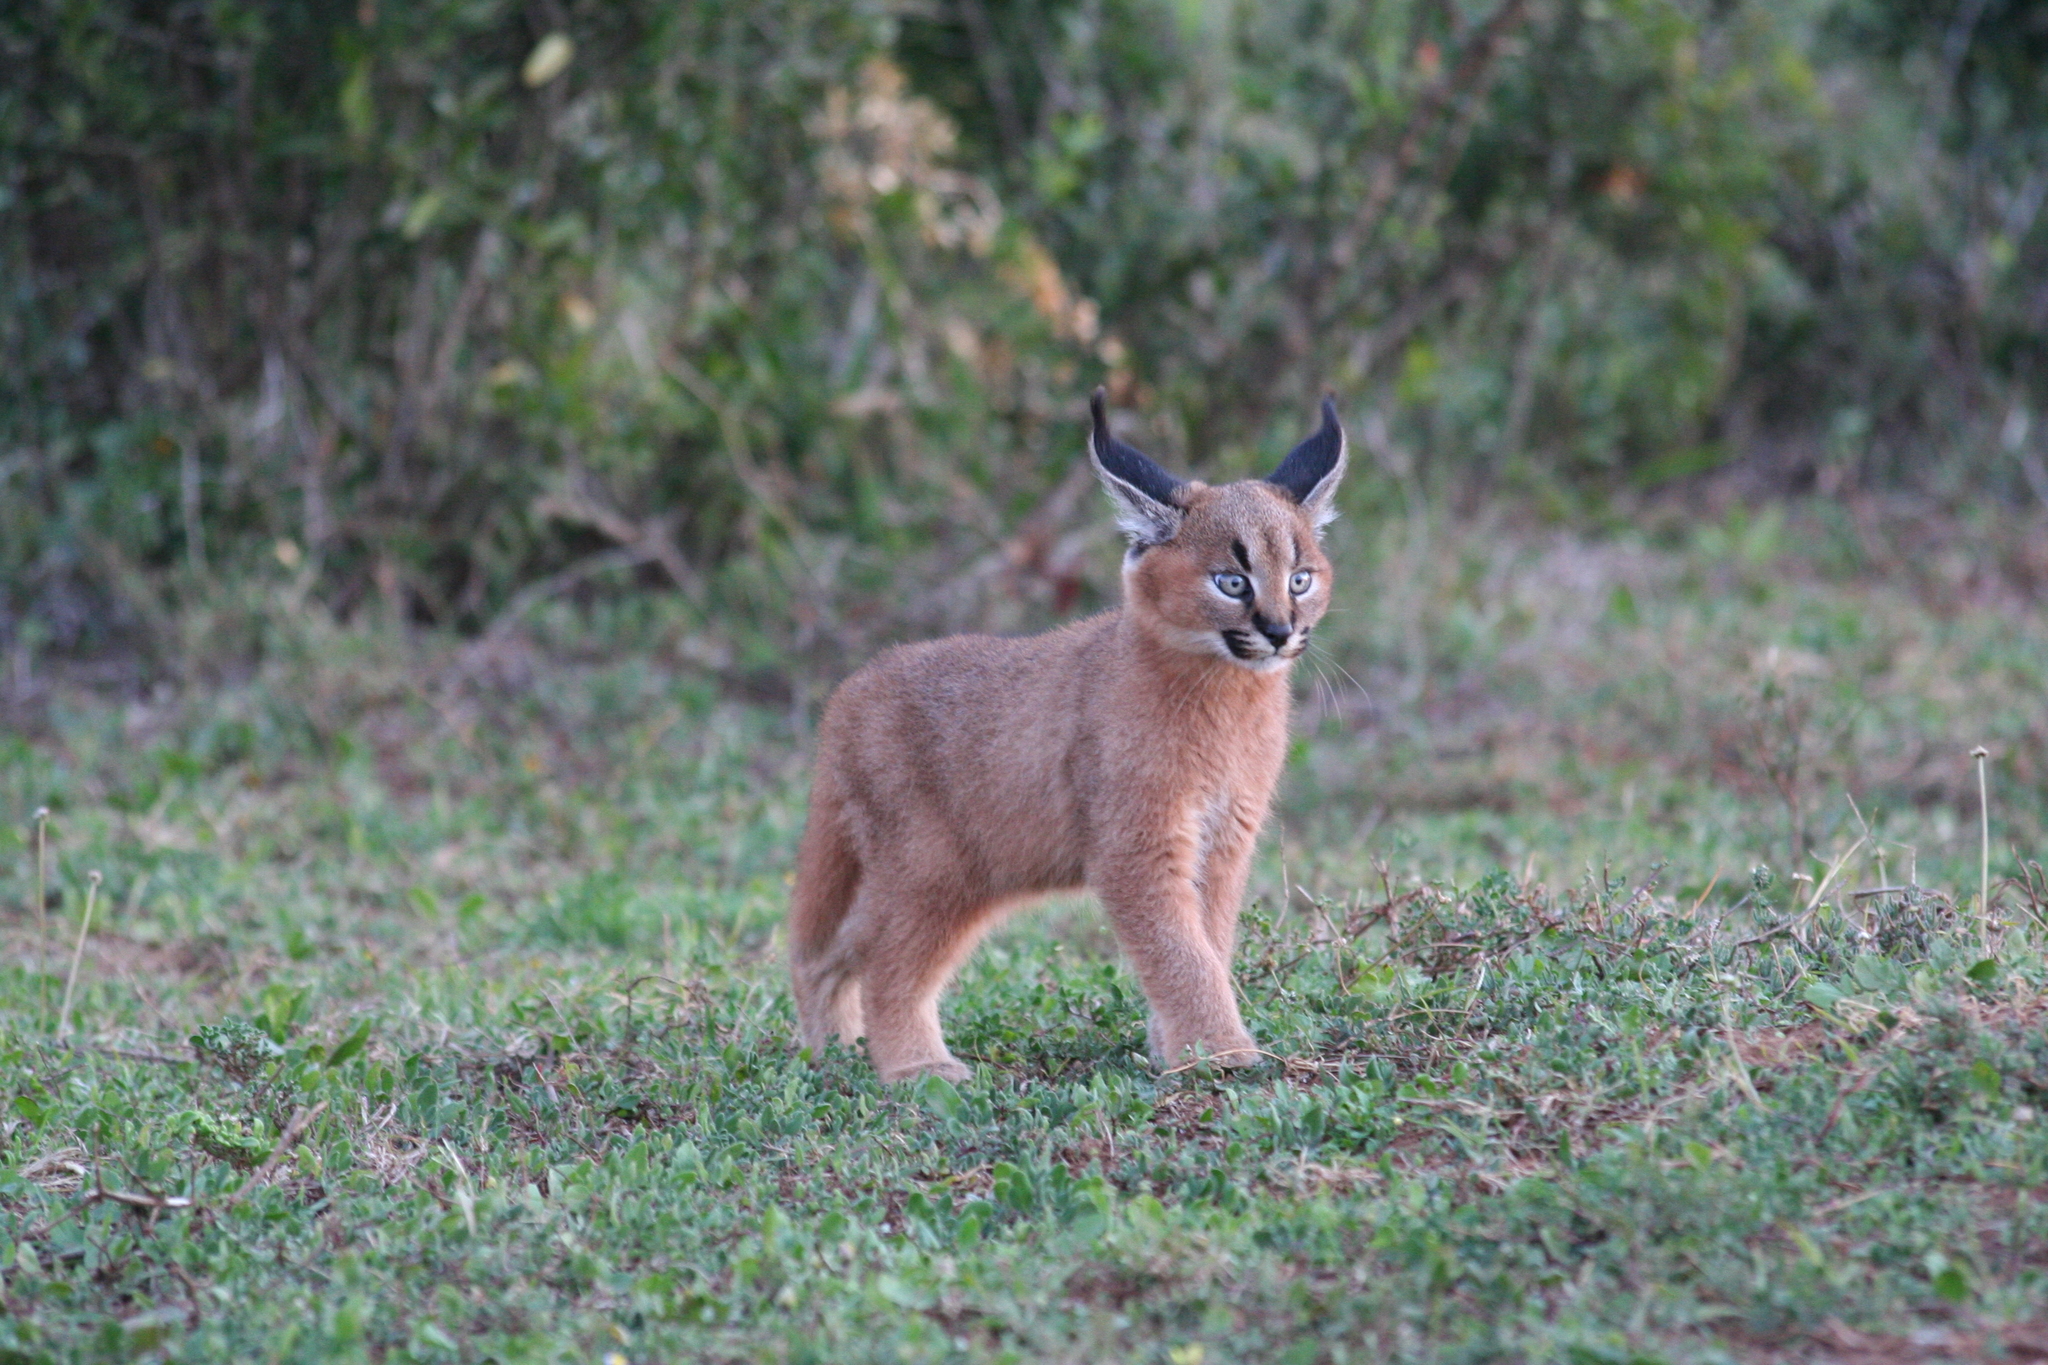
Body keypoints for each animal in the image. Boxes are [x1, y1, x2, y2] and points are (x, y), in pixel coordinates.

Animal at [782, 384, 1343, 1080]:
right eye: (1231, 581)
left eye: (1300, 578)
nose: (1278, 631)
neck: (1227, 695)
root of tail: (849, 689)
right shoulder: (1138, 844)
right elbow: (1181, 953)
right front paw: (1218, 1052)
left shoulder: (1222, 841)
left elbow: (1207, 943)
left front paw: (1175, 1049)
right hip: (935, 865)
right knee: (882, 959)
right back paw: (917, 1070)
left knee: (833, 947)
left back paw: (830, 1051)